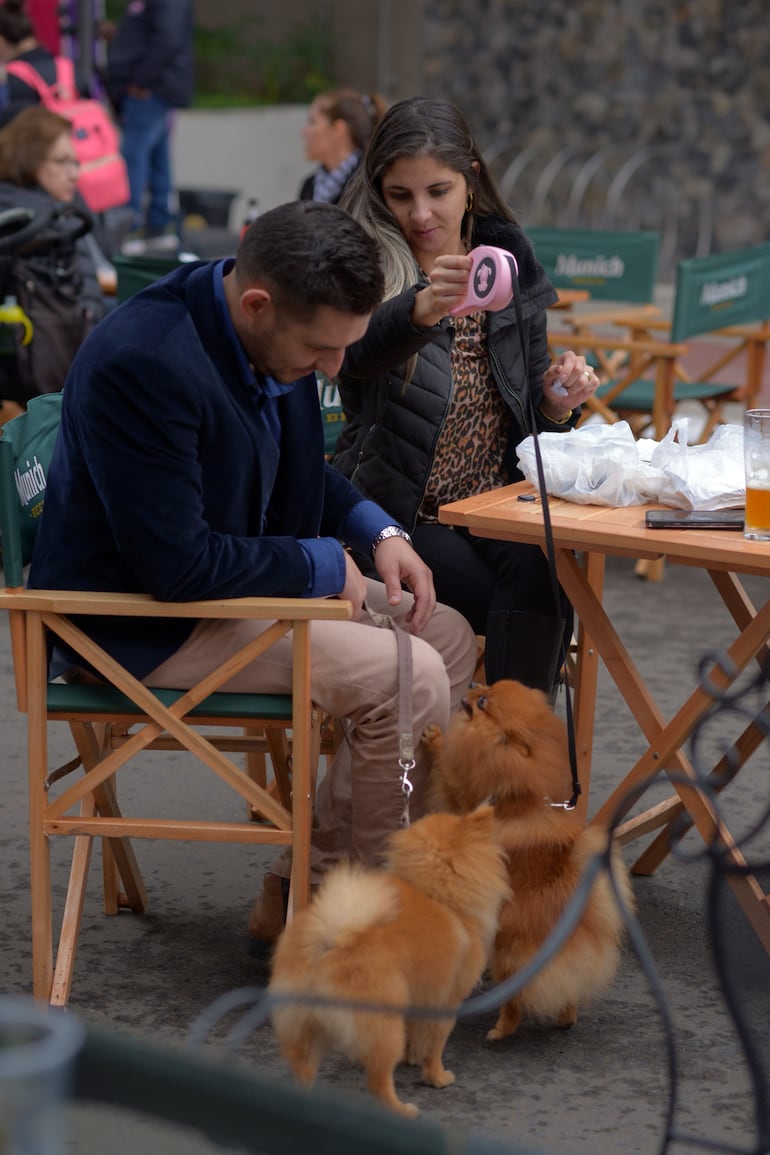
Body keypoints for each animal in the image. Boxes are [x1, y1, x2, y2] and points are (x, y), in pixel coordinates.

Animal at [270, 808, 512, 1113]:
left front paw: (413, 1057)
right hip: (383, 1025)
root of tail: (328, 941)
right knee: (378, 1079)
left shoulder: (418, 996)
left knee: (303, 1071)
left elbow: (417, 1034)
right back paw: (402, 1110)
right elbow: (435, 1045)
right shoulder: (446, 1000)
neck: (437, 894)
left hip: (308, 1025)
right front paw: (437, 1076)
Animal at [424, 679, 637, 1044]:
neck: (515, 794)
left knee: (516, 999)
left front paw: (436, 739)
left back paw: (499, 1031)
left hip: (509, 951)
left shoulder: (463, 799)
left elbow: (449, 777)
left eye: (483, 701)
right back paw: (566, 1019)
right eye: (485, 686)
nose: (473, 682)